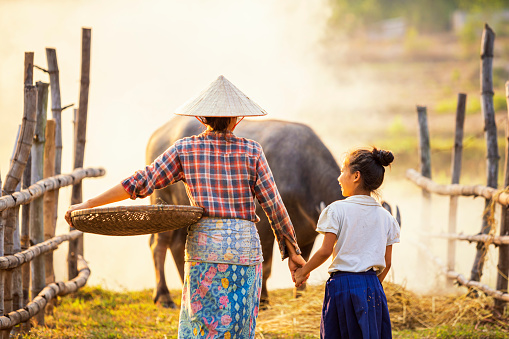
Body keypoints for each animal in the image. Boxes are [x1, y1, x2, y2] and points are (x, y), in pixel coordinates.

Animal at [147, 115, 346, 310]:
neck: (303, 175)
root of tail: (156, 136)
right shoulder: (265, 228)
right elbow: (266, 267)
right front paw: (263, 300)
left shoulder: (306, 235)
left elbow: (304, 261)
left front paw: (299, 295)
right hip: (164, 203)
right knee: (159, 245)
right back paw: (164, 297)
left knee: (177, 245)